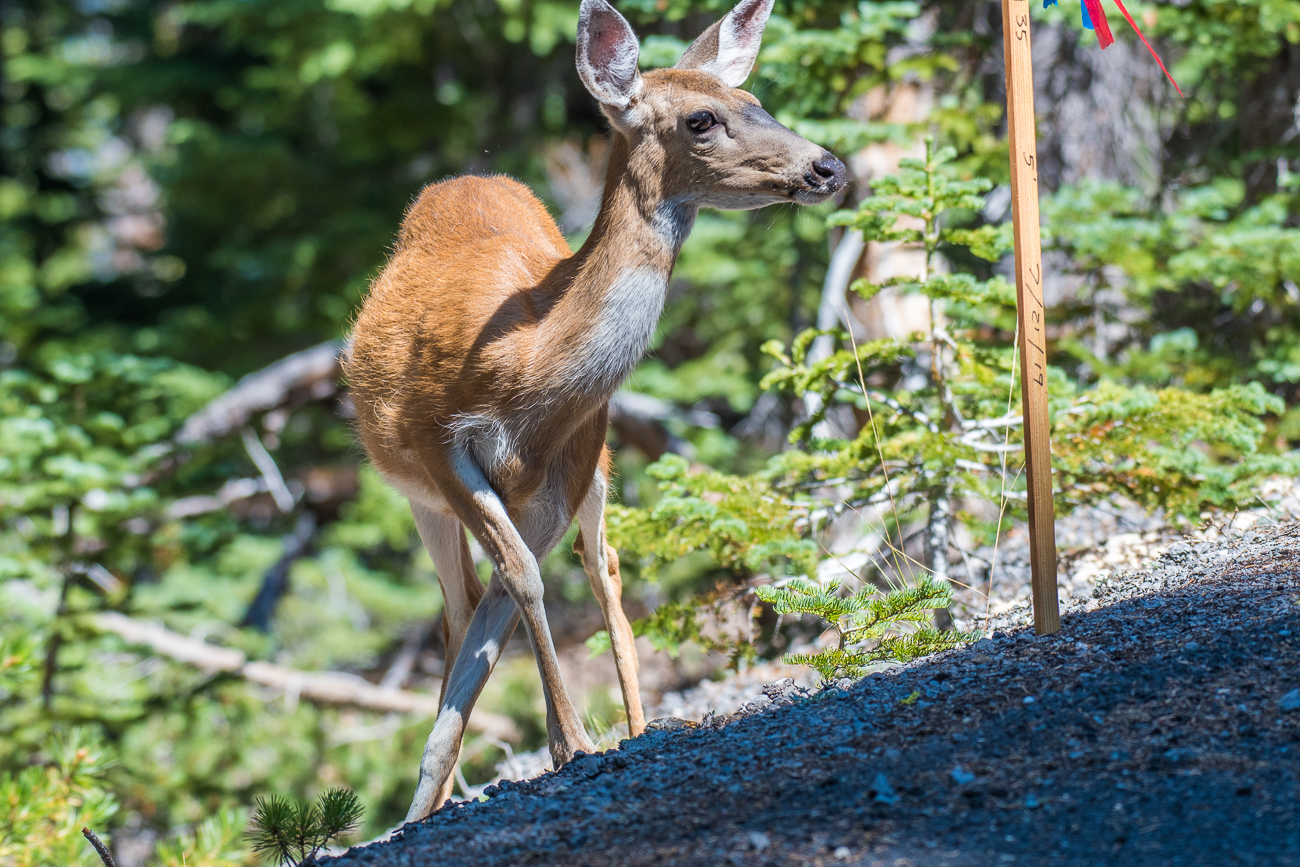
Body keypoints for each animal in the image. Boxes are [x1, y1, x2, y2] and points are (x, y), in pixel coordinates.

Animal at [351, 0, 847, 826]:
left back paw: (634, 727)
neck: (524, 361)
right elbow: (514, 582)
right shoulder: (435, 442)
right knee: (460, 605)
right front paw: (444, 788)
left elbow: (522, 585)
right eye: (703, 119)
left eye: (757, 100)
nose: (827, 166)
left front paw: (568, 742)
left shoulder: (574, 450)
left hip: (601, 466)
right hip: (419, 496)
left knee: (596, 568)